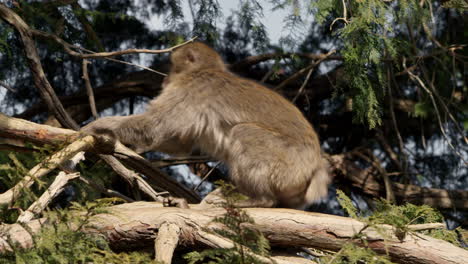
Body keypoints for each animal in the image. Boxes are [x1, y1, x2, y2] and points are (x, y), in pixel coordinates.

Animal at [80, 42, 330, 209]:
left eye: (172, 67)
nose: (164, 80)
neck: (206, 70)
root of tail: (315, 167)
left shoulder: (190, 89)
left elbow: (153, 127)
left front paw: (98, 126)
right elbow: (179, 144)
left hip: (287, 165)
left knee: (244, 133)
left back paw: (258, 199)